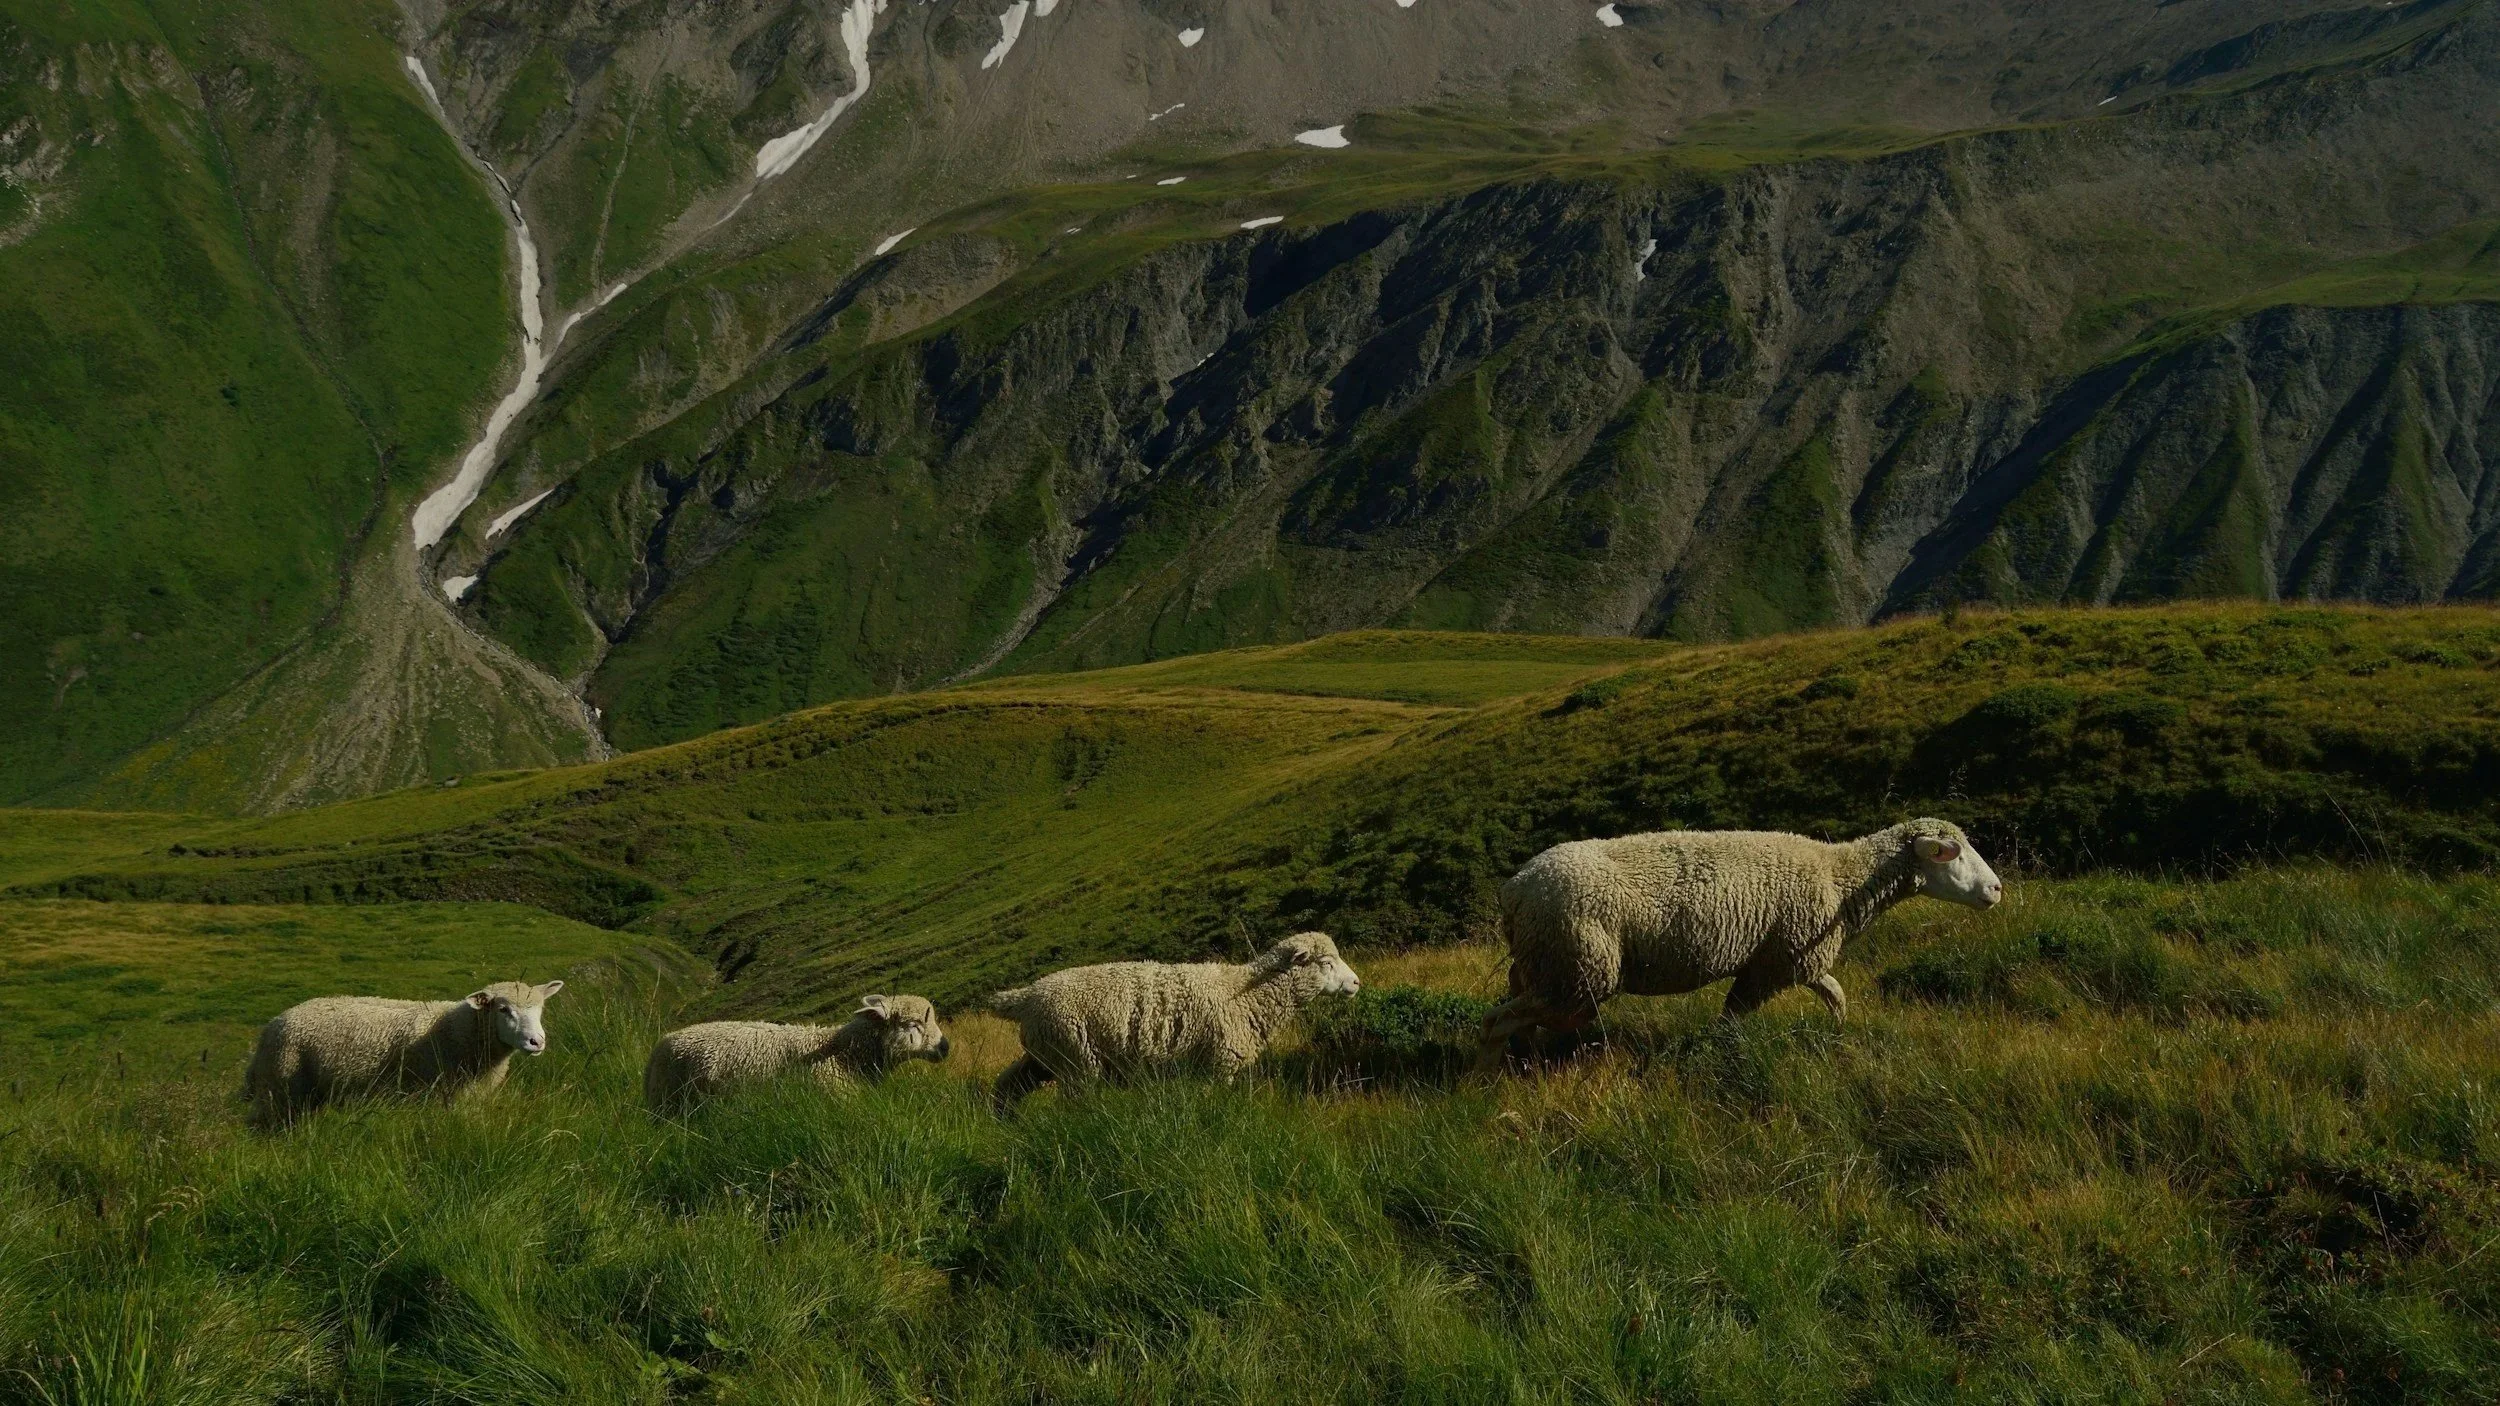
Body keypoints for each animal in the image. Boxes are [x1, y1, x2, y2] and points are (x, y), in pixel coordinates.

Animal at [243, 979, 565, 1126]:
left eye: (540, 1008)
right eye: (503, 1009)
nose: (536, 1042)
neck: (455, 1030)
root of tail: (273, 1023)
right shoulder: (428, 1095)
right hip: (282, 1087)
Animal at [988, 932, 1362, 1108]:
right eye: (1326, 963)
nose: (1356, 983)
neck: (1245, 992)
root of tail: (1025, 997)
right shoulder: (1218, 1063)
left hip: (1045, 1054)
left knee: (1008, 1085)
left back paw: (1009, 1124)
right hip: (1075, 1058)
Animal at [1480, 818, 2002, 1061]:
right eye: (1952, 854)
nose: (1998, 889)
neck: (1841, 878)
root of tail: (1515, 888)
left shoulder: (1795, 959)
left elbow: (1836, 995)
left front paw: (1838, 1034)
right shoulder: (1776, 964)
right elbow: (1734, 1018)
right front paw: (1721, 1052)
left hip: (1541, 965)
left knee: (1516, 1013)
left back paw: (1521, 1063)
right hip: (1577, 969)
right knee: (1496, 1021)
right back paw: (1485, 1080)